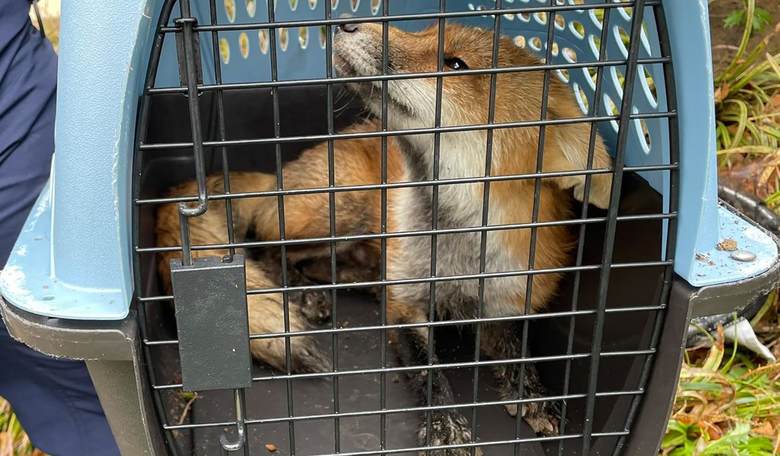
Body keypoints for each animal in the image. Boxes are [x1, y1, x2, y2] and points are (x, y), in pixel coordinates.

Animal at [156, 22, 613, 455]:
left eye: (455, 64)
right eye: (425, 30)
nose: (346, 23)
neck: (457, 252)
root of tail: (280, 177)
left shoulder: (504, 301)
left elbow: (521, 351)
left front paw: (535, 394)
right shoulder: (405, 305)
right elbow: (430, 372)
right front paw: (446, 429)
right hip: (342, 213)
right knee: (269, 249)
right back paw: (305, 294)